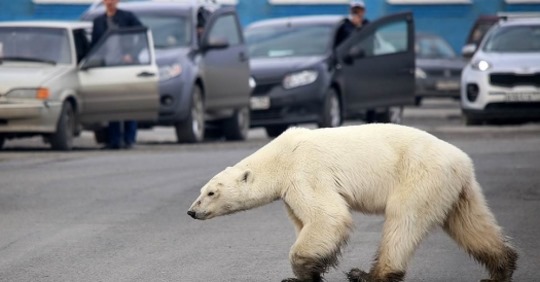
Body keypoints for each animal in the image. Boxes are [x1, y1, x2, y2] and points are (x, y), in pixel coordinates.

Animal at [187, 124, 520, 282]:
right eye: (202, 190)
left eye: (211, 193)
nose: (191, 211)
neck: (279, 157)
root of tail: (462, 161)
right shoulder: (290, 190)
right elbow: (305, 221)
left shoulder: (305, 171)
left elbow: (327, 216)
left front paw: (302, 271)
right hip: (455, 188)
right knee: (470, 223)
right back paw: (500, 268)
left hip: (420, 176)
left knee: (403, 220)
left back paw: (369, 274)